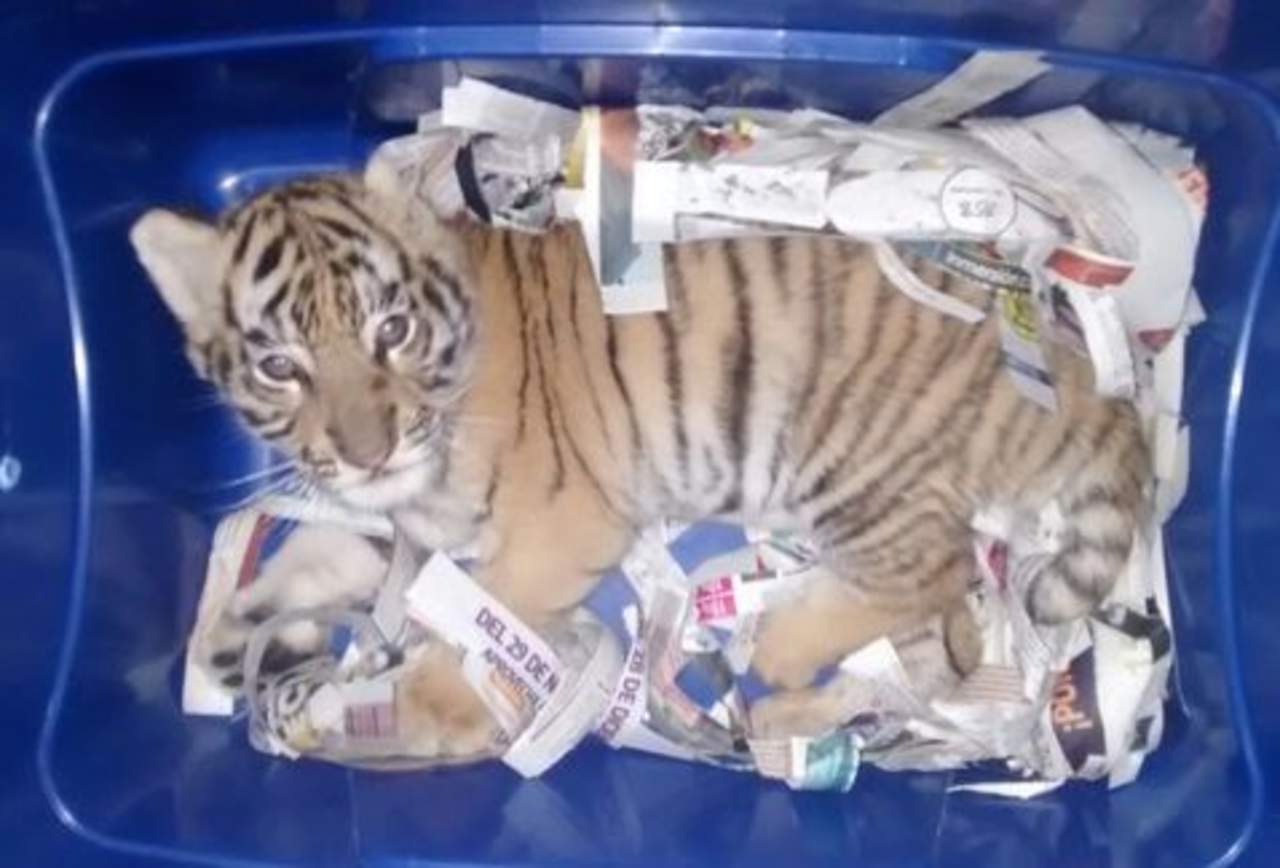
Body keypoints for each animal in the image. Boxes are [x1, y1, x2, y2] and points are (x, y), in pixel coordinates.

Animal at [129, 160, 1149, 763]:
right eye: (279, 366)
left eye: (392, 330)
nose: (367, 450)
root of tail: (1072, 365)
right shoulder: (413, 531)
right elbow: (314, 559)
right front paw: (235, 640)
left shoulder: (554, 526)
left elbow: (479, 634)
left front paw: (407, 710)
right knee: (941, 652)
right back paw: (787, 725)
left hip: (851, 461)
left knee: (925, 569)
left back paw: (777, 653)